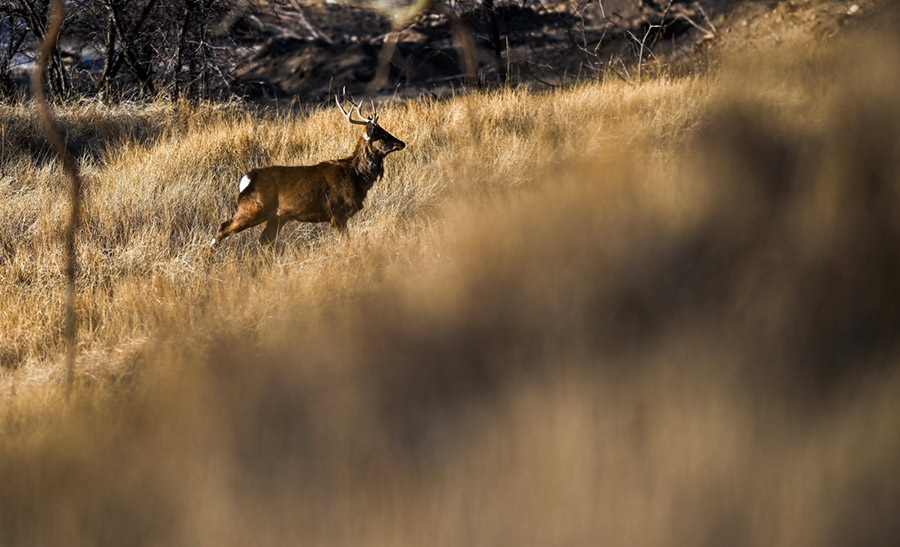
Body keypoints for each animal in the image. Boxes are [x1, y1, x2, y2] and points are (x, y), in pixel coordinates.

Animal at [209, 94, 406, 248]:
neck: (356, 177)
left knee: (264, 241)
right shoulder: (337, 212)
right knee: (223, 228)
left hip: (276, 217)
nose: (401, 143)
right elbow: (345, 241)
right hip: (254, 208)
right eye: (381, 135)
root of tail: (247, 179)